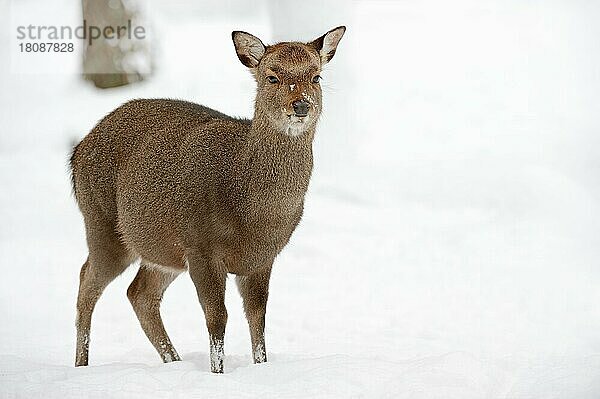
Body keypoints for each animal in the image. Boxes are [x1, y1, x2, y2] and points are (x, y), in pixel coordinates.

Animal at [69, 26, 346, 374]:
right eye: (272, 76)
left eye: (316, 76)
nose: (301, 105)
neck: (256, 216)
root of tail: (77, 151)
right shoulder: (201, 246)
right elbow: (218, 318)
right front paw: (218, 373)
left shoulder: (262, 258)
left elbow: (258, 318)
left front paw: (261, 367)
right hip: (101, 221)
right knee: (86, 282)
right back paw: (81, 364)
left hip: (161, 248)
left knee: (139, 292)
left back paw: (174, 361)